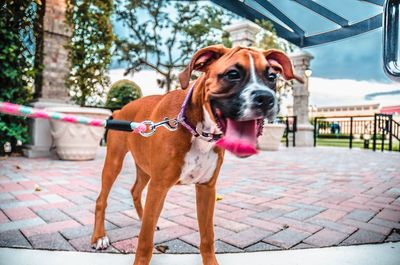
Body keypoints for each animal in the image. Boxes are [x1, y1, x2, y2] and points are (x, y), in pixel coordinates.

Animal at [91, 44, 304, 262]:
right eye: (233, 74)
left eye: (272, 77)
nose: (265, 98)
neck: (196, 128)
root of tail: (119, 111)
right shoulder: (159, 187)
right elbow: (144, 243)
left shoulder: (207, 189)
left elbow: (207, 237)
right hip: (114, 163)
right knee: (101, 200)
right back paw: (99, 237)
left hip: (144, 168)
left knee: (135, 192)